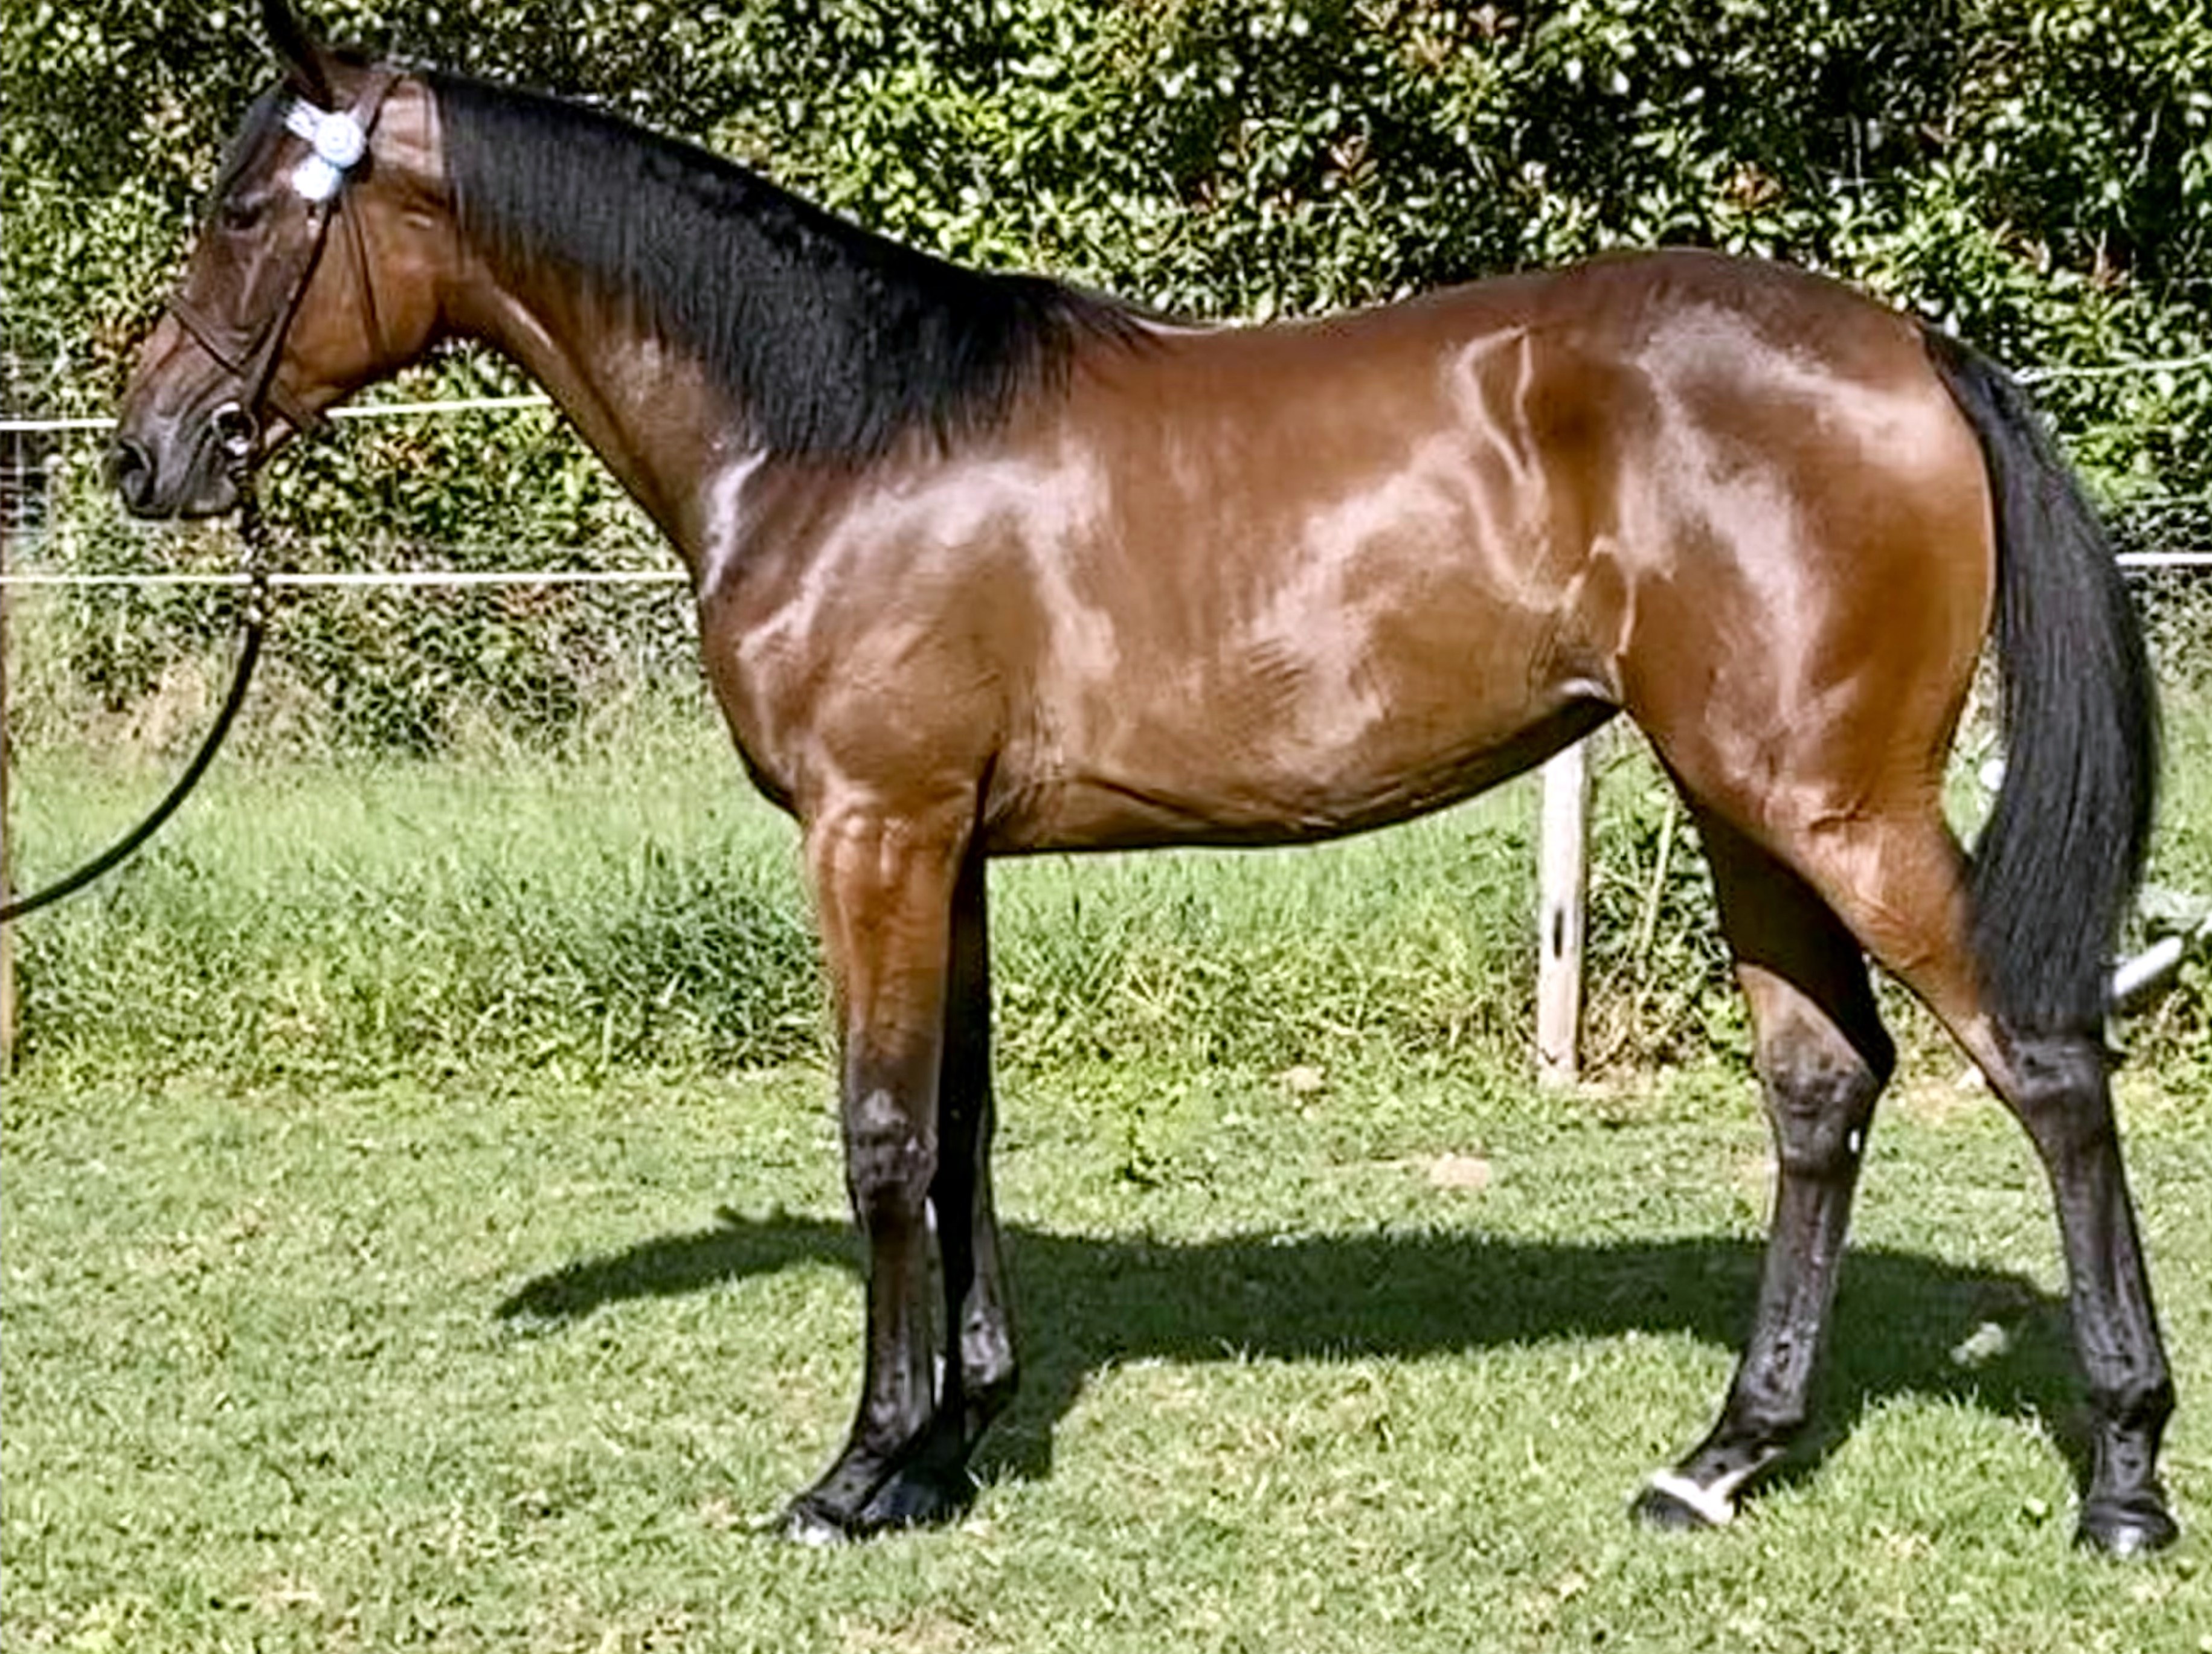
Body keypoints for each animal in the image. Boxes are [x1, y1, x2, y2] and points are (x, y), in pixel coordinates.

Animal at [112, 1, 2175, 1554]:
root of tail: (1908, 347)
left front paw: (857, 1471)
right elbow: (956, 1132)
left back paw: (2123, 1476)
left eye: (244, 207)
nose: (148, 450)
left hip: (1829, 803)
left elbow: (876, 1136)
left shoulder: (873, 831)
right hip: (1743, 802)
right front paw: (951, 1442)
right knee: (1821, 1085)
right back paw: (1719, 1456)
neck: (837, 432)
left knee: (2042, 1065)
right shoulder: (944, 847)